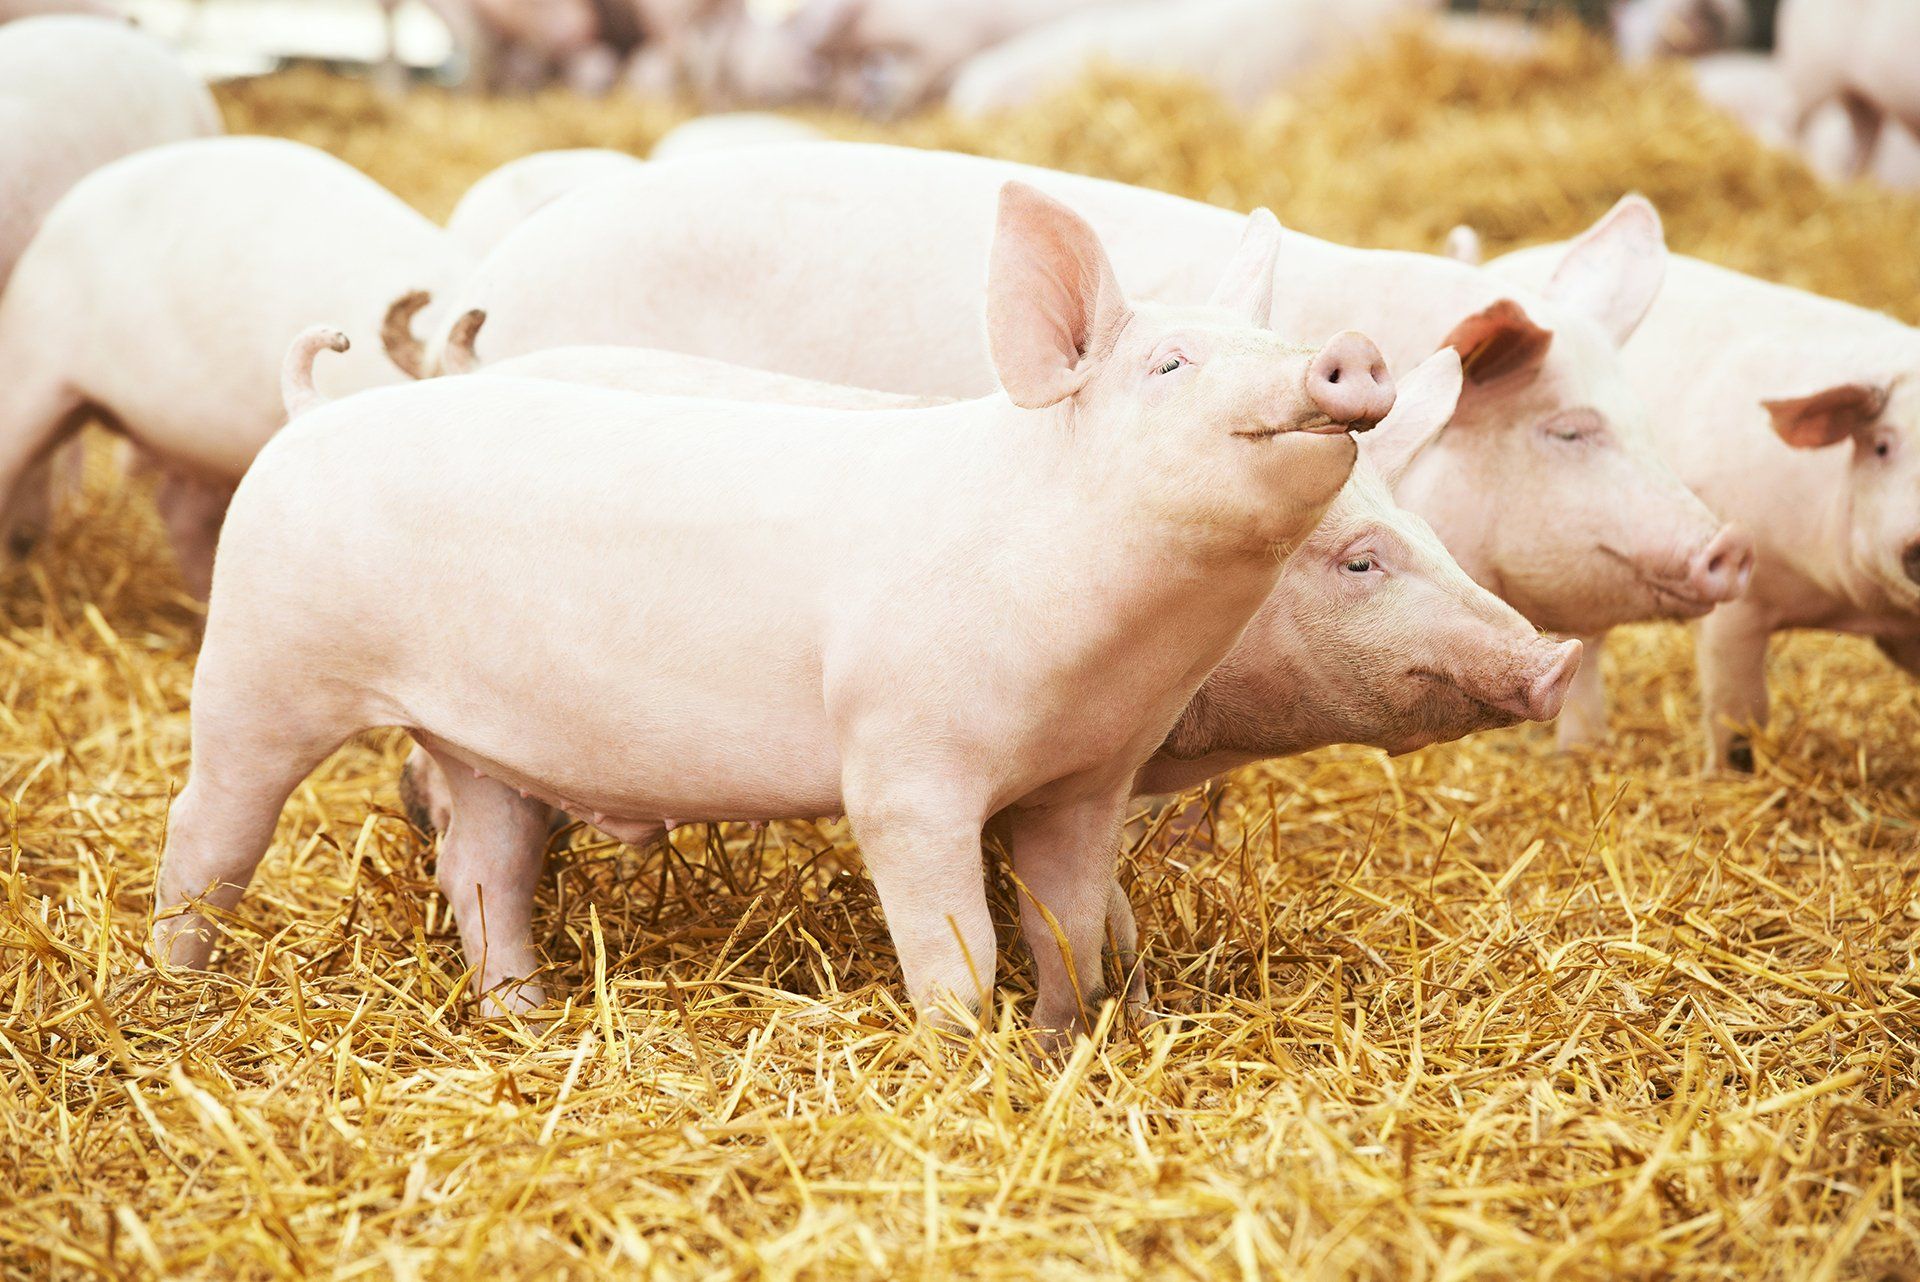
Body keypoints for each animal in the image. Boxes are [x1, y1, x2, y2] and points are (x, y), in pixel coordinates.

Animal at [153, 183, 1377, 1038]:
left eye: (1282, 341)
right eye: (1170, 363)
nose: (1349, 353)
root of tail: (306, 413)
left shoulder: (1085, 782)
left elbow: (1069, 930)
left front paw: (1058, 1043)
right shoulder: (904, 766)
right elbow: (961, 948)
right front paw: (964, 1051)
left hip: (474, 736)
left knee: (480, 866)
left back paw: (529, 1017)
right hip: (262, 664)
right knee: (207, 831)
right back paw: (174, 989)